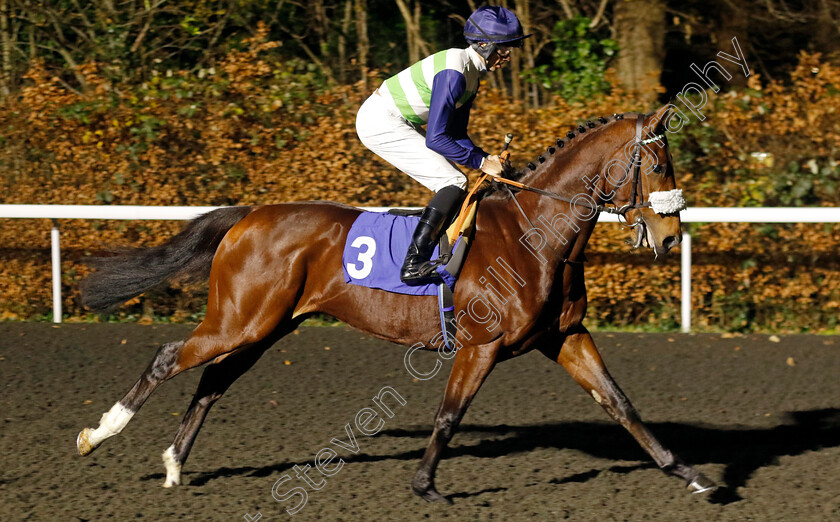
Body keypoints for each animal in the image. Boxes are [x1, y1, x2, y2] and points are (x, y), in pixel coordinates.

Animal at [75, 104, 716, 500]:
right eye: (658, 162)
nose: (670, 238)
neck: (536, 236)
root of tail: (249, 214)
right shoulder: (480, 345)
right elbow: (450, 414)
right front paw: (425, 485)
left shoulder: (564, 337)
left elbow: (621, 403)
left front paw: (689, 473)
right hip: (240, 320)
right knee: (169, 357)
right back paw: (99, 435)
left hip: (266, 326)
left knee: (212, 381)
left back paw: (174, 463)